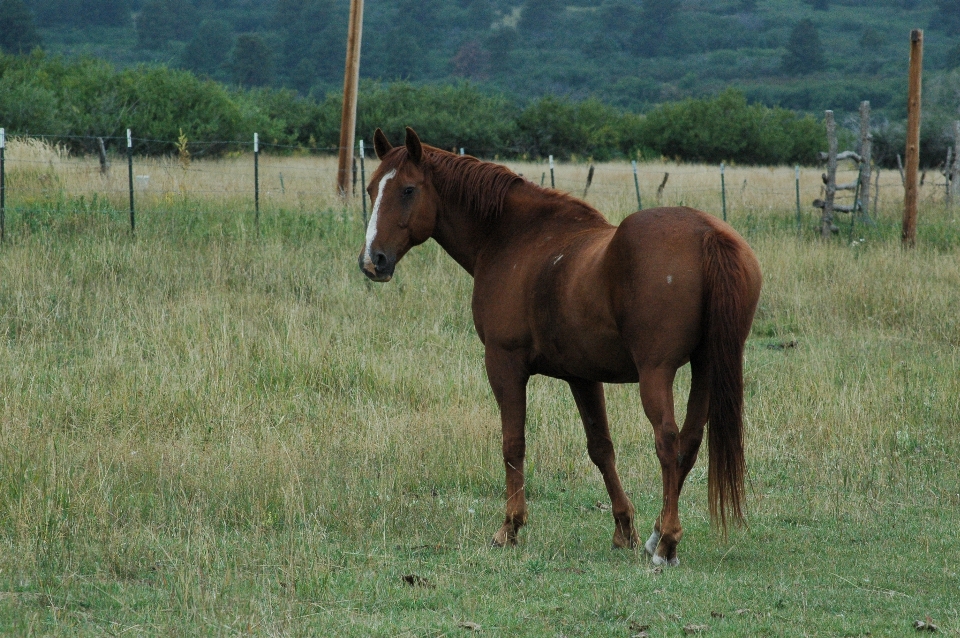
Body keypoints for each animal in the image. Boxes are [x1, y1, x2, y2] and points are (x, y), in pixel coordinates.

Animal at [356, 127, 760, 568]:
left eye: (408, 190)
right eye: (371, 188)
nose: (372, 261)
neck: (516, 238)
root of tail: (708, 234)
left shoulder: (504, 364)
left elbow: (513, 443)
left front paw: (510, 527)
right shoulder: (582, 376)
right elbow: (601, 448)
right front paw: (624, 529)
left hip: (658, 372)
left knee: (668, 442)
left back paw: (667, 543)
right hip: (707, 367)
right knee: (688, 441)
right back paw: (656, 534)